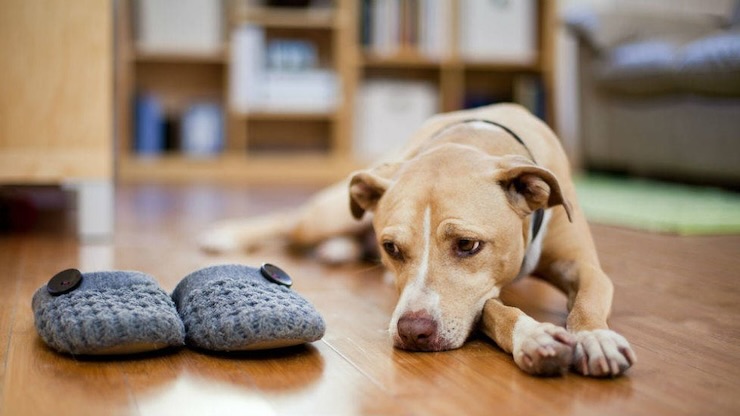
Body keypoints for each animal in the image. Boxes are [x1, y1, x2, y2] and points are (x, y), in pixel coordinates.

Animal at [201, 103, 636, 376]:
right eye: (392, 248)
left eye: (467, 245)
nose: (413, 332)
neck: (473, 140)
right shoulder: (475, 300)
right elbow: (495, 311)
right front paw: (534, 336)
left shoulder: (583, 266)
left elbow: (588, 299)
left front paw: (594, 337)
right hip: (326, 213)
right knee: (287, 221)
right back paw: (227, 234)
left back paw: (338, 249)